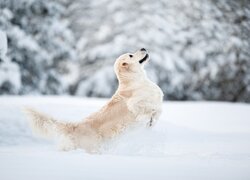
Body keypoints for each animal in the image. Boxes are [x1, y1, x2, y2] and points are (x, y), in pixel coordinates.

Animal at [24, 48, 163, 153]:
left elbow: (157, 111)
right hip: (93, 147)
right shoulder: (134, 104)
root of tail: (74, 126)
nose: (143, 48)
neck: (134, 80)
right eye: (131, 55)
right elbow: (149, 109)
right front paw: (149, 119)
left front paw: (151, 122)